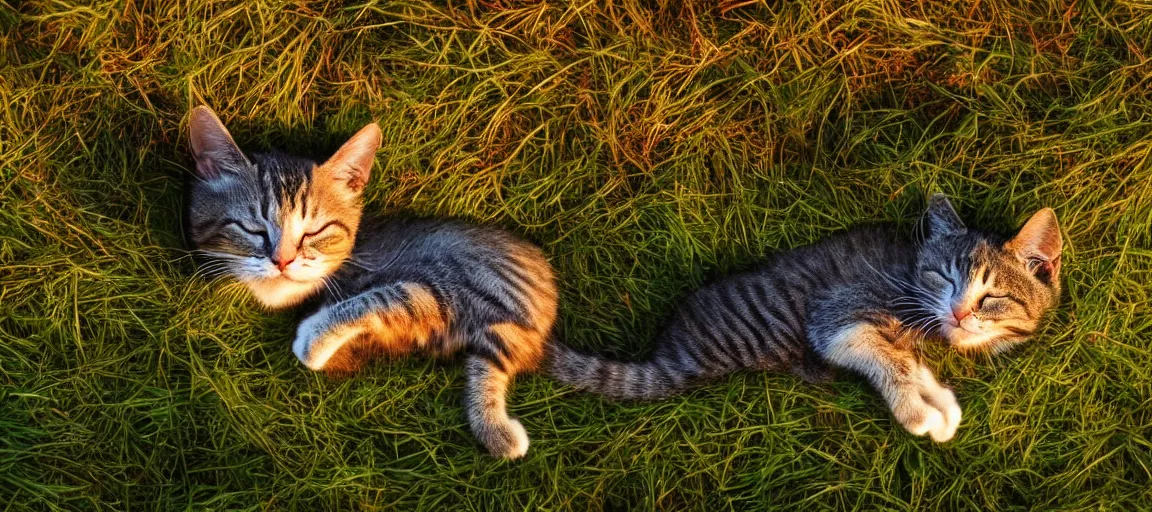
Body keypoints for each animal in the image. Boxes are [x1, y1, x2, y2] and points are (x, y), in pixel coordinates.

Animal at [187, 106, 557, 458]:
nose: (283, 261)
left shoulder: (438, 285)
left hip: (476, 284)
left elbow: (376, 300)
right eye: (252, 228)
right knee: (488, 364)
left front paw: (312, 342)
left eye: (315, 231)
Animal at [548, 196, 1059, 440]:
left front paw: (939, 402)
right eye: (943, 277)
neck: (909, 275)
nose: (958, 310)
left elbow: (908, 361)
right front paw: (918, 414)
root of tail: (669, 356)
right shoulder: (834, 320)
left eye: (992, 296)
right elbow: (889, 361)